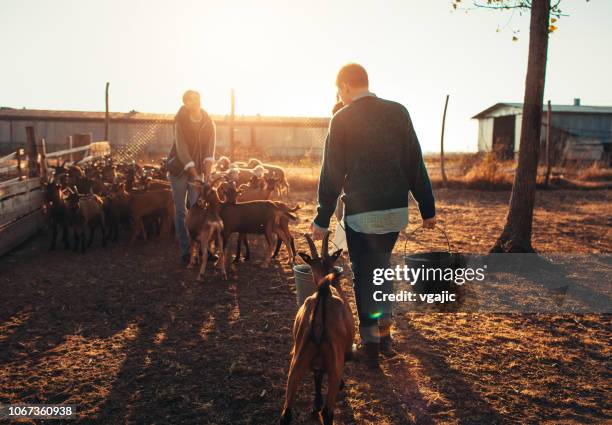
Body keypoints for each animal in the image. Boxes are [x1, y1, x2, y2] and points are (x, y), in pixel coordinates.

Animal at [280, 232, 354, 424]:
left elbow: (317, 377)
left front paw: (315, 404)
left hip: (297, 360)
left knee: (286, 413)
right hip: (334, 364)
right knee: (328, 413)